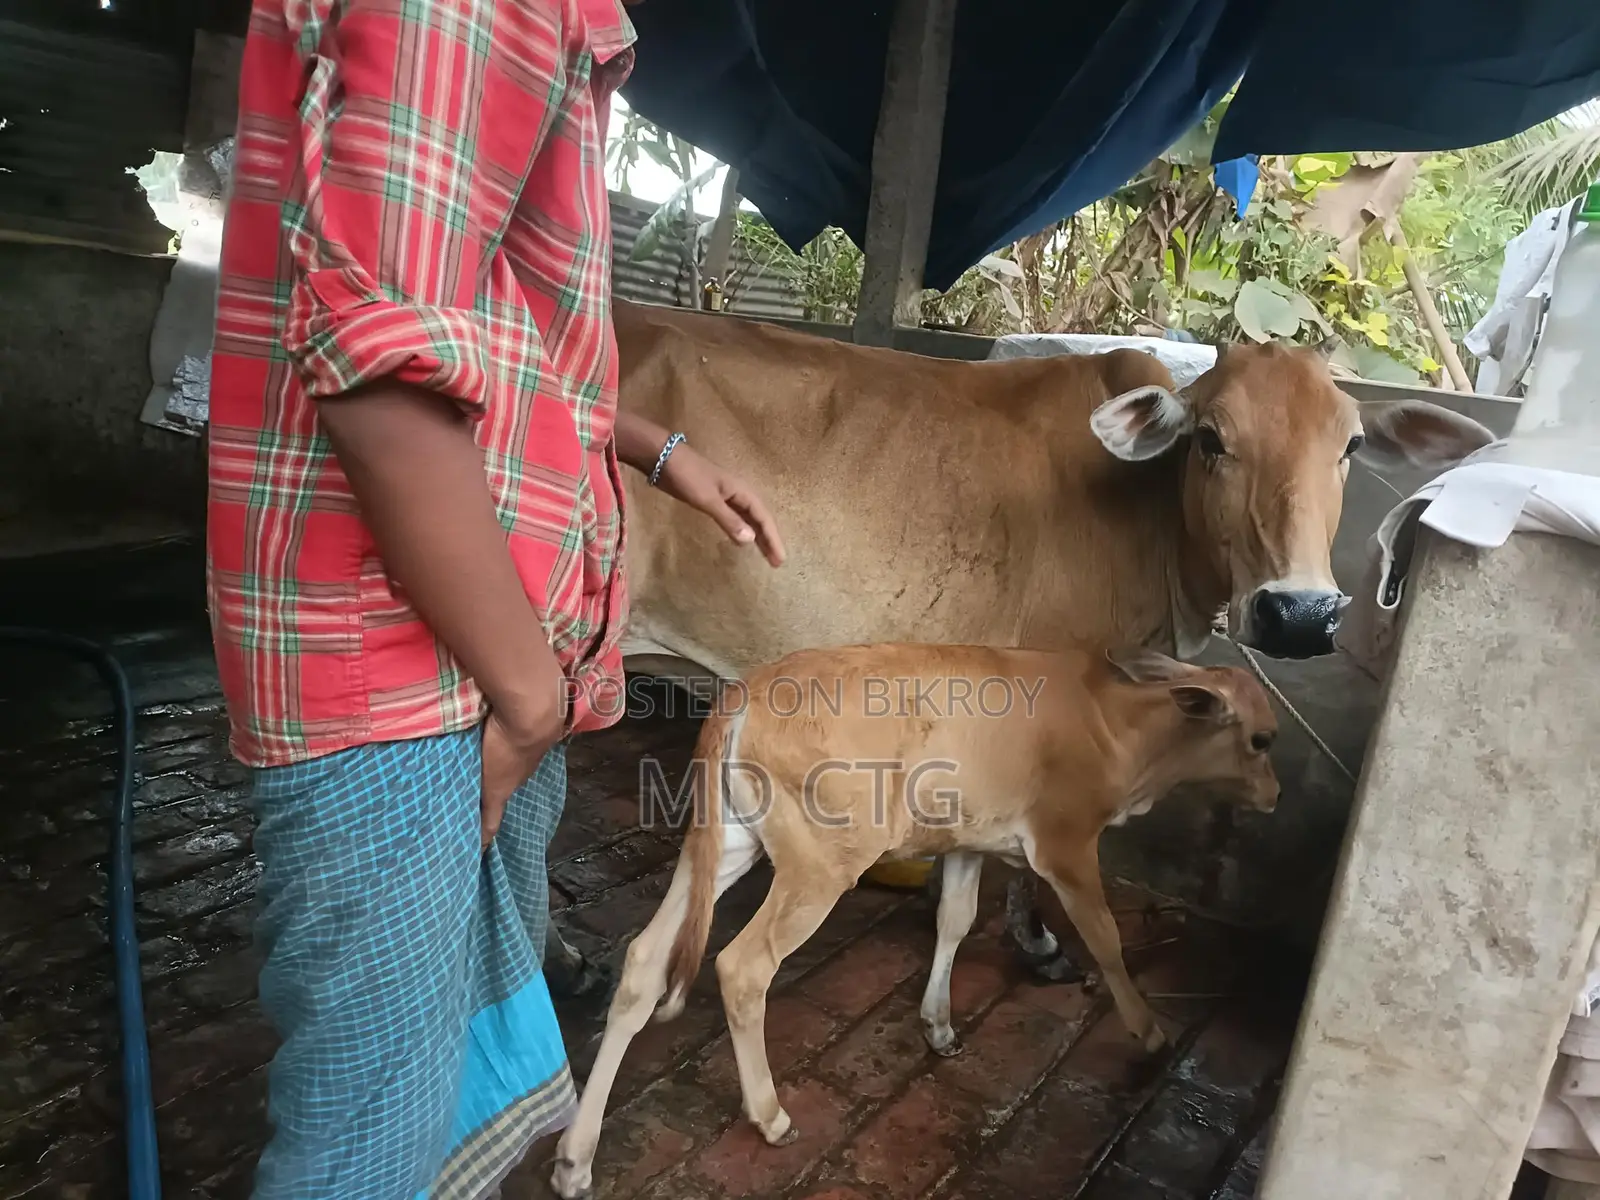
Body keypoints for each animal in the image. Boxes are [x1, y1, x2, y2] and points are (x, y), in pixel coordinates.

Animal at [549, 640, 1282, 1198]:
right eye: (1261, 739)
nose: (1276, 795)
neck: (1119, 729)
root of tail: (745, 692)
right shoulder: (1066, 844)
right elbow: (1105, 937)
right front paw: (1149, 1031)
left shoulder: (967, 842)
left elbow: (955, 920)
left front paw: (938, 1023)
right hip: (821, 862)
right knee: (742, 966)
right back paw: (770, 1114)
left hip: (727, 842)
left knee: (645, 959)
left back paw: (576, 1157)